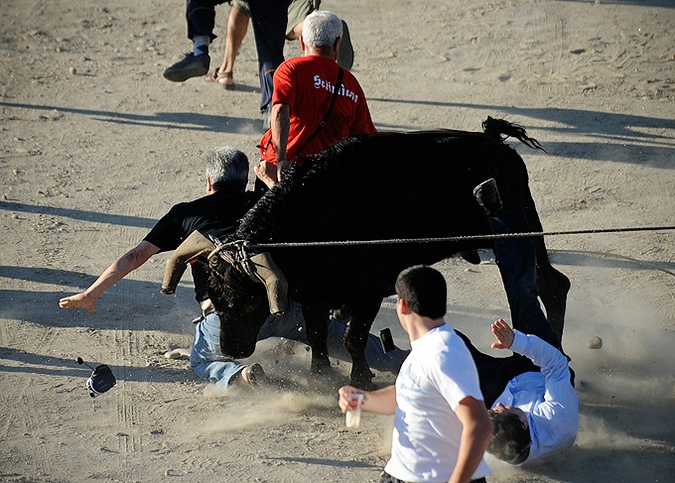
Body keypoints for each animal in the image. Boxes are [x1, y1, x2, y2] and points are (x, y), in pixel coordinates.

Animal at [206, 120, 572, 390]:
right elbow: (316, 334)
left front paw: (361, 378)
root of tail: (496, 144)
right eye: (216, 300)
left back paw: (553, 353)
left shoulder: (368, 290)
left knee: (550, 285)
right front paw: (320, 373)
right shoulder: (315, 294)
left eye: (249, 302)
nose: (230, 349)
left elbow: (353, 338)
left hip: (520, 228)